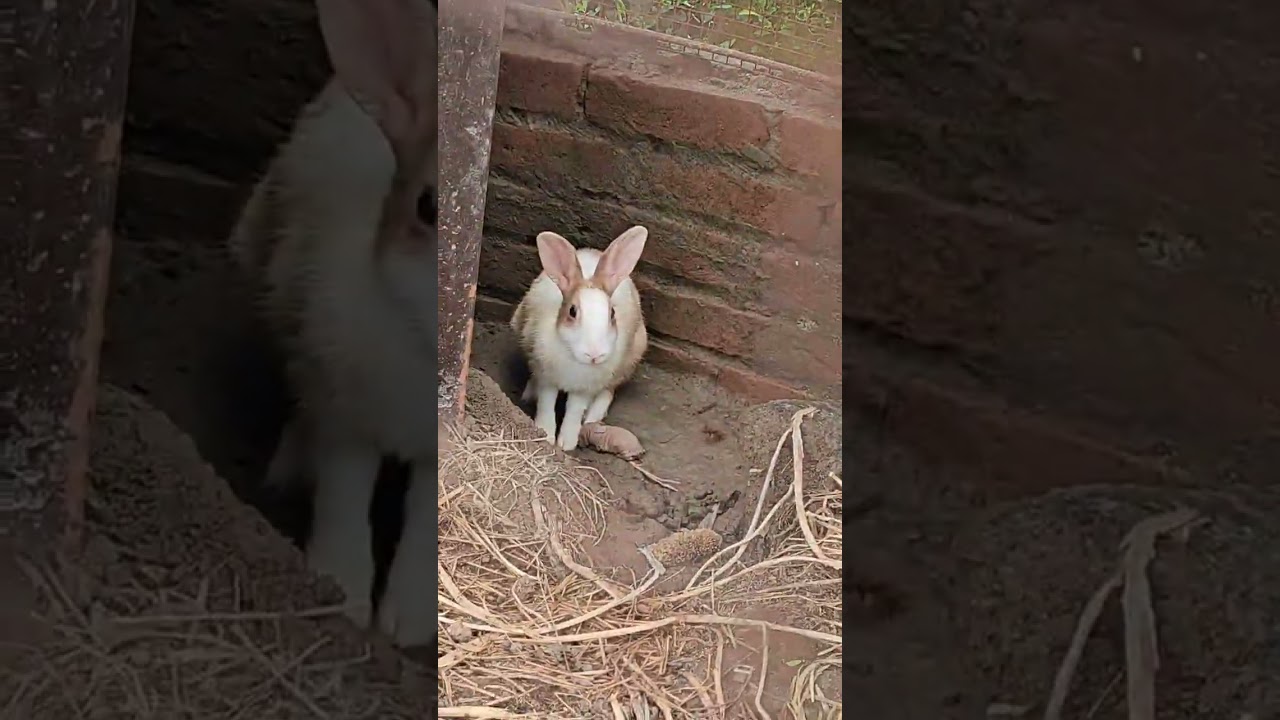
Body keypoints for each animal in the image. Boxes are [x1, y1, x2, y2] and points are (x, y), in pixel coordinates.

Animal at [225, 0, 439, 648]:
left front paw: (409, 621)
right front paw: (339, 594)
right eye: (428, 207)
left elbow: (424, 523)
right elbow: (345, 498)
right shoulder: (346, 416)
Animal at [510, 226, 650, 451]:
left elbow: (574, 411)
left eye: (612, 314)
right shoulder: (547, 376)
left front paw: (566, 443)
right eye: (572, 311)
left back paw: (593, 416)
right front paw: (545, 435)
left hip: (630, 359)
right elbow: (547, 403)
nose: (595, 355)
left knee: (608, 391)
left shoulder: (585, 388)